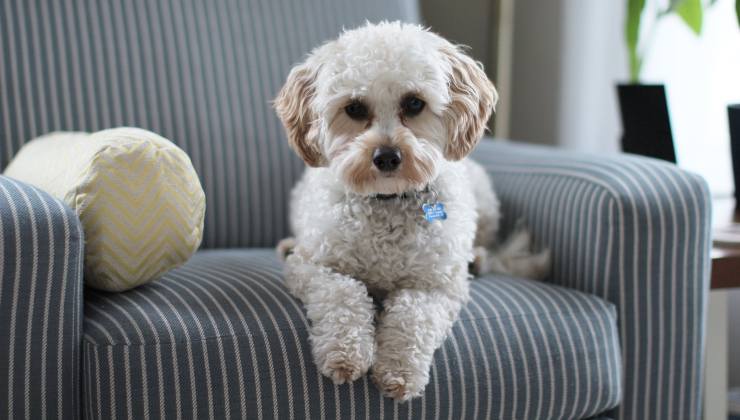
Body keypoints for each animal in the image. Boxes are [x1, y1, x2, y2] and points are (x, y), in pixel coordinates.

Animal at [274, 22, 548, 400]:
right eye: (354, 108)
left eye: (414, 103)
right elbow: (344, 294)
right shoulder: (314, 267)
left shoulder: (435, 286)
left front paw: (398, 370)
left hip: (485, 201)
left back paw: (477, 258)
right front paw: (345, 353)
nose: (387, 156)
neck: (387, 201)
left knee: (485, 241)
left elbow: (412, 316)